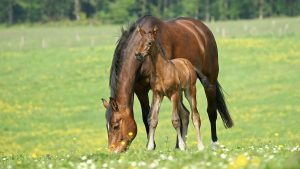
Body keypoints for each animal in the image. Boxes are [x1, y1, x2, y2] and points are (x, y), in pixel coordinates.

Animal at [102, 15, 233, 153]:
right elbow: (146, 116)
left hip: (209, 82)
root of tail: (202, 29)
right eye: (106, 126)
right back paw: (180, 145)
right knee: (185, 113)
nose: (113, 151)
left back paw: (213, 144)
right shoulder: (141, 89)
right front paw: (151, 145)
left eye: (116, 125)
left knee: (211, 111)